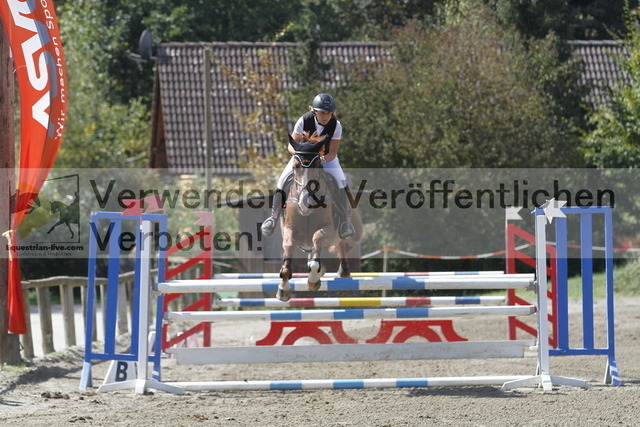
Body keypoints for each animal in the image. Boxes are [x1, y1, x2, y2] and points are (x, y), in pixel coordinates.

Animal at [276, 135, 362, 302]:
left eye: (317, 165)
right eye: (296, 166)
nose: (304, 204)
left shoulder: (327, 228)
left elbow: (317, 238)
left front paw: (313, 280)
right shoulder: (290, 229)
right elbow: (288, 245)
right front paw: (283, 289)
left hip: (355, 233)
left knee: (343, 244)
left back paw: (342, 269)